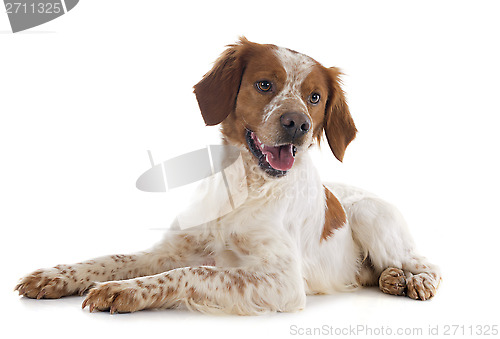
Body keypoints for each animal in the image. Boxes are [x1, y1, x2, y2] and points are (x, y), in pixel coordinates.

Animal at [13, 37, 440, 316]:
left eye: (315, 97)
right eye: (264, 84)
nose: (298, 124)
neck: (244, 187)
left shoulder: (283, 281)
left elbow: (192, 272)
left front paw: (125, 290)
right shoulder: (172, 248)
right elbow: (114, 257)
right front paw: (57, 275)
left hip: (371, 215)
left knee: (427, 262)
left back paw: (414, 280)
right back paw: (390, 279)